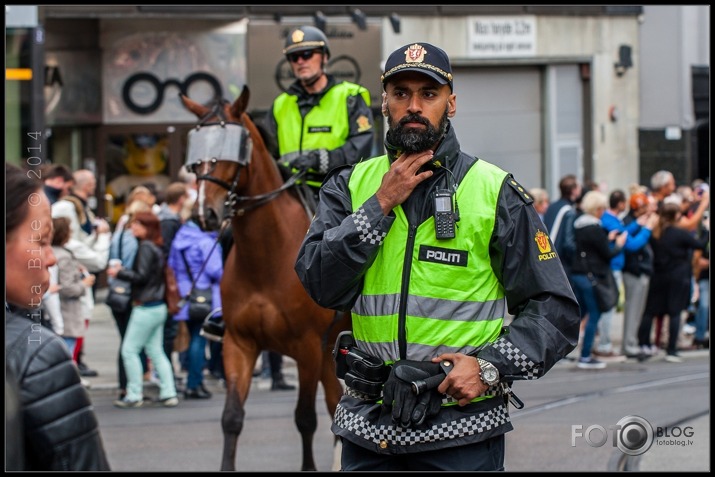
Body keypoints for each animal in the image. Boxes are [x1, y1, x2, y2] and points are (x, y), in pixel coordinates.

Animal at [178, 87, 346, 470]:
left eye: (237, 148)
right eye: (196, 152)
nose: (204, 213)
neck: (266, 260)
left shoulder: (307, 348)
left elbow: (305, 418)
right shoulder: (239, 344)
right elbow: (231, 418)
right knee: (336, 405)